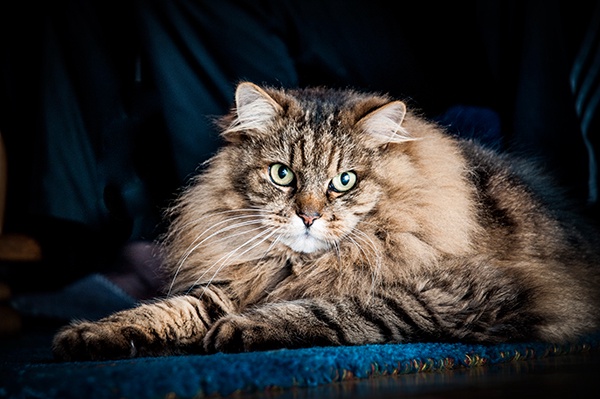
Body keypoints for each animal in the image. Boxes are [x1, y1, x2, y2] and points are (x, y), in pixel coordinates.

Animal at [51, 82, 600, 362]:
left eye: (344, 180)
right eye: (282, 174)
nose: (309, 216)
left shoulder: (458, 294)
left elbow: (337, 307)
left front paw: (242, 329)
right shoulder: (244, 277)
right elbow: (172, 309)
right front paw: (91, 335)